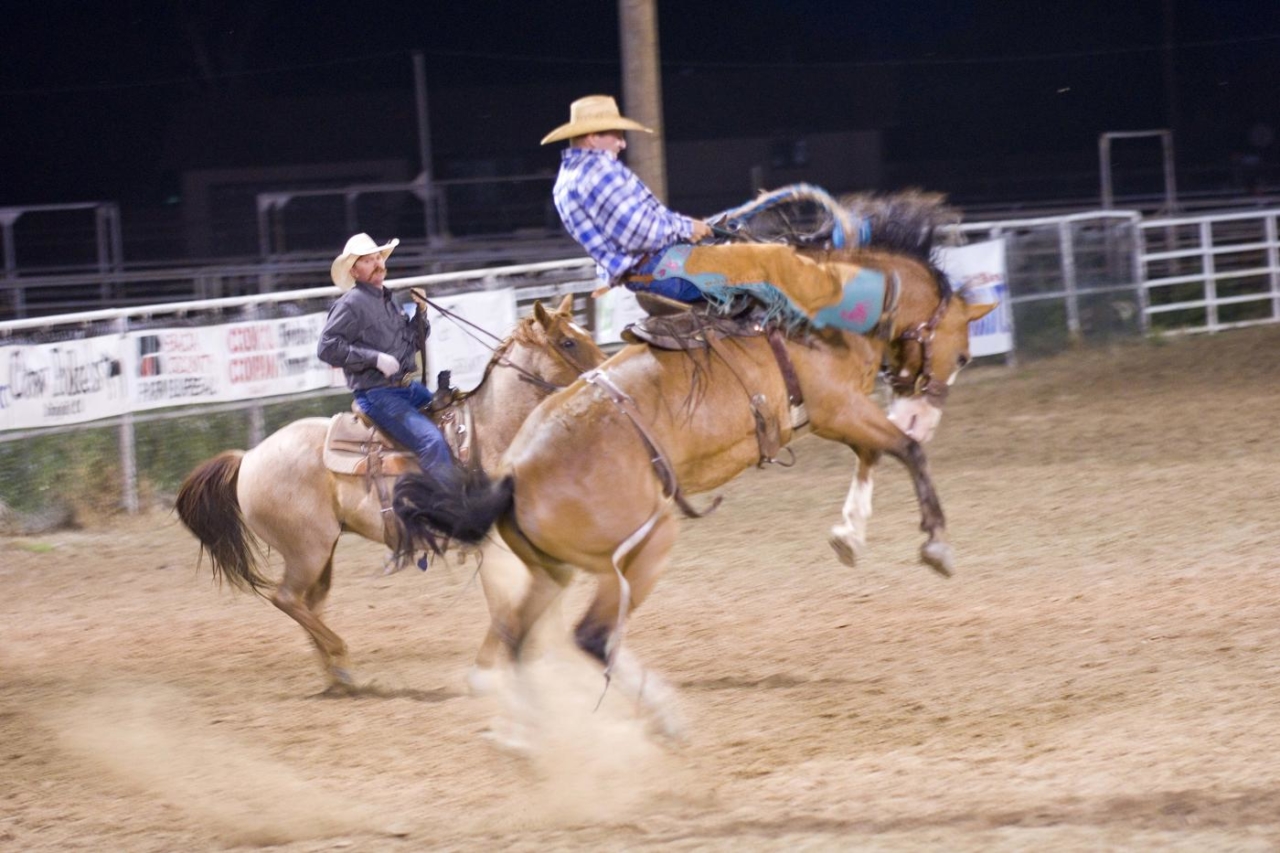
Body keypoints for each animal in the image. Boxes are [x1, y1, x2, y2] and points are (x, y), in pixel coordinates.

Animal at [174, 294, 604, 691]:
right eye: (567, 341)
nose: (603, 375)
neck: (490, 432)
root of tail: (248, 457)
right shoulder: (493, 545)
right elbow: (507, 610)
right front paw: (490, 671)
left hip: (321, 551)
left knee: (309, 603)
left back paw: (337, 675)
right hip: (307, 549)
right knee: (287, 598)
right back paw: (340, 658)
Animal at [394, 190, 993, 712]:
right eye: (964, 355)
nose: (923, 413)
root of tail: (514, 474)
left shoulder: (835, 415)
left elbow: (872, 456)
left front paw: (848, 537)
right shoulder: (839, 407)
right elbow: (906, 451)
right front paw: (935, 545)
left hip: (554, 571)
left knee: (523, 636)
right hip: (641, 544)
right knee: (591, 635)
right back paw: (656, 711)